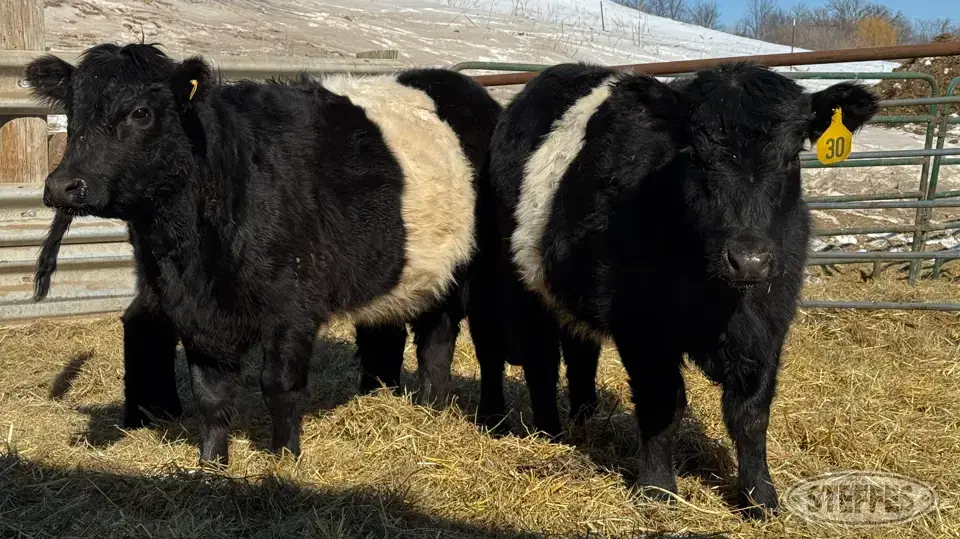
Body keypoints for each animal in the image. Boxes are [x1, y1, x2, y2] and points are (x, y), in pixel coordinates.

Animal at [26, 42, 502, 465]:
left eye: (140, 112)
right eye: (72, 112)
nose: (62, 186)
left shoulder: (292, 308)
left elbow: (279, 385)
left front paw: (283, 458)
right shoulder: (193, 313)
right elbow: (211, 393)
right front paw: (211, 464)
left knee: (454, 339)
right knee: (424, 334)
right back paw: (421, 405)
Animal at [466, 62, 878, 517]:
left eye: (792, 157)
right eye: (696, 155)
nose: (748, 259)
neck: (714, 296)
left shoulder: (768, 322)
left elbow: (751, 413)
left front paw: (760, 497)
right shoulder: (641, 327)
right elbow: (661, 402)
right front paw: (657, 488)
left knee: (578, 352)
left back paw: (585, 419)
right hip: (514, 276)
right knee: (529, 353)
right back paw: (540, 429)